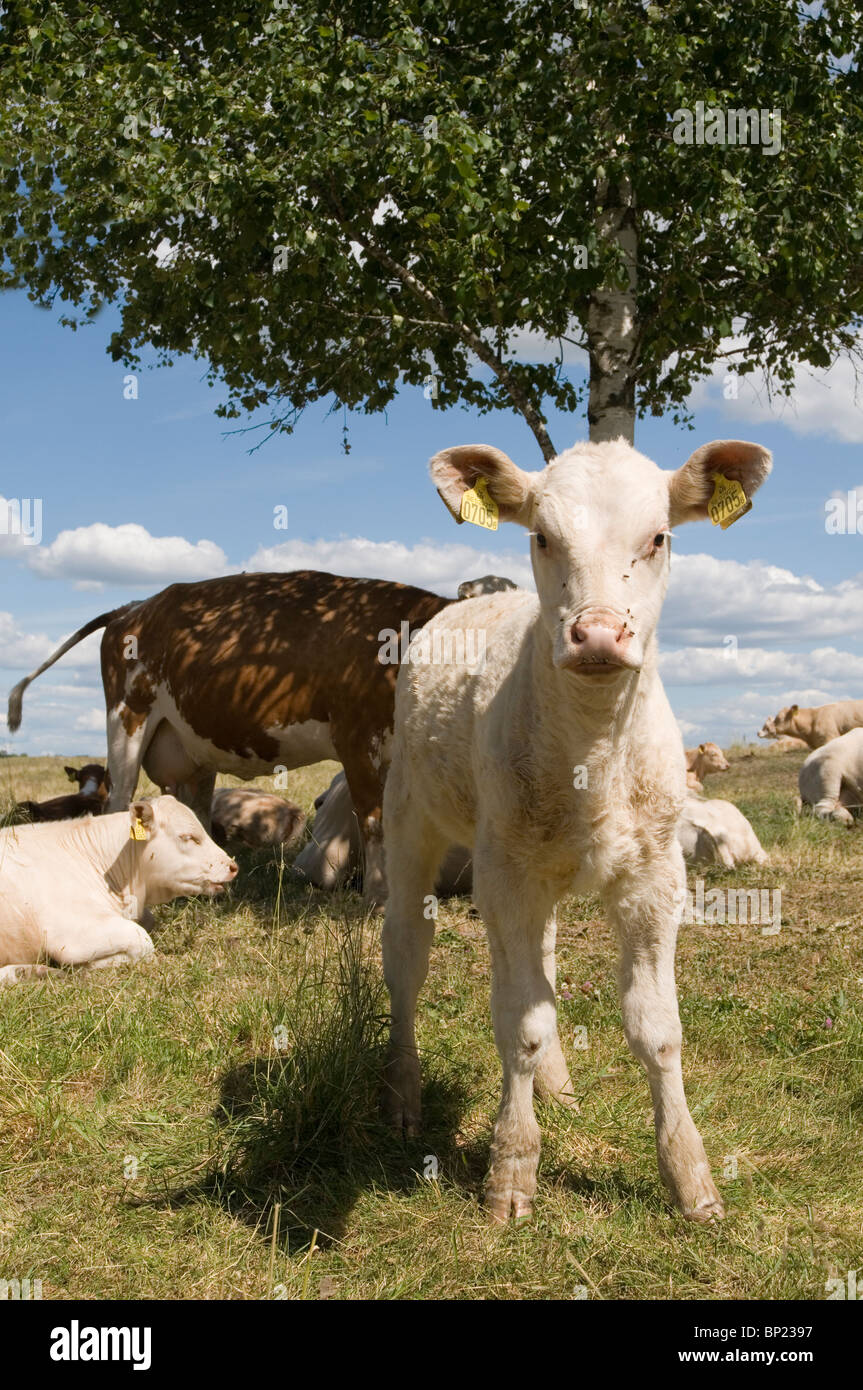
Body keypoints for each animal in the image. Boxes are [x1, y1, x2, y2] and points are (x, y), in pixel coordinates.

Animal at [7, 573, 451, 904]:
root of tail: (132, 607)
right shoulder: (356, 740)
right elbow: (374, 821)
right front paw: (378, 896)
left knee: (196, 811)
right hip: (126, 723)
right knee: (118, 801)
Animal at [381, 435, 771, 1224]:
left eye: (659, 537)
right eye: (541, 536)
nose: (596, 633)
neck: (593, 751)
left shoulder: (656, 877)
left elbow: (655, 1028)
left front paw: (691, 1180)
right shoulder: (504, 876)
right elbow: (517, 1023)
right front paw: (511, 1170)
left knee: (544, 966)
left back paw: (557, 1086)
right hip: (411, 815)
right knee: (407, 957)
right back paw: (404, 1097)